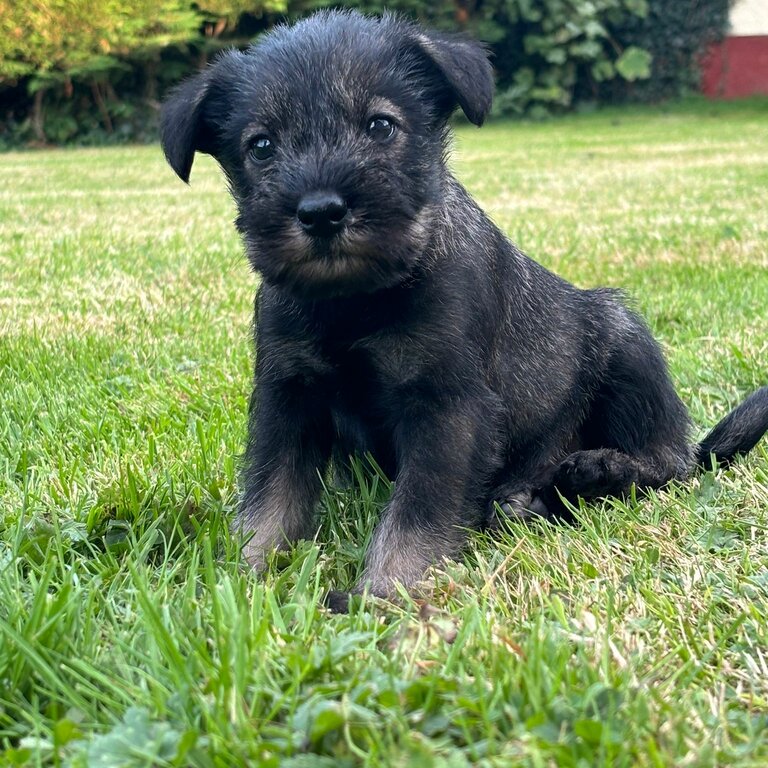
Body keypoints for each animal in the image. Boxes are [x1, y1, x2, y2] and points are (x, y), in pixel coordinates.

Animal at [159, 9, 764, 604]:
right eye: (261, 146)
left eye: (381, 126)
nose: (321, 211)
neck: (355, 301)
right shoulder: (286, 395)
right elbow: (271, 496)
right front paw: (241, 583)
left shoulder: (447, 406)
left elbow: (419, 509)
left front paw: (386, 590)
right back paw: (530, 499)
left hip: (623, 339)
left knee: (672, 462)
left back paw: (602, 470)